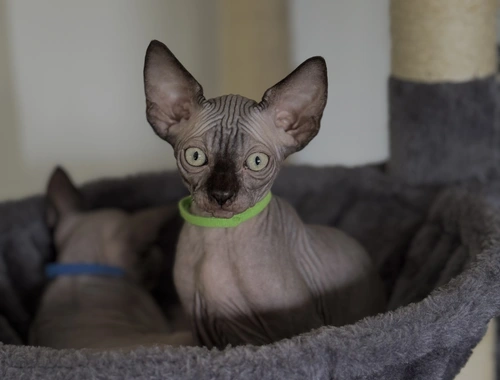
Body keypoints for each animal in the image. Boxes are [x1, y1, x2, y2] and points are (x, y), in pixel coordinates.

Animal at [143, 40, 384, 348]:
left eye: (257, 161)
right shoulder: (205, 332)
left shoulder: (298, 326)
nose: (222, 195)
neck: (219, 236)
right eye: (195, 156)